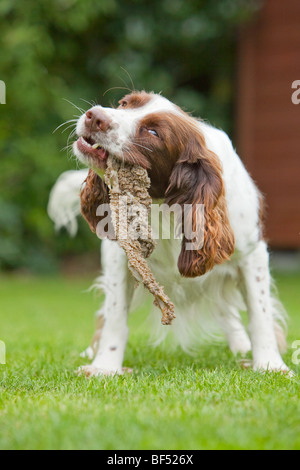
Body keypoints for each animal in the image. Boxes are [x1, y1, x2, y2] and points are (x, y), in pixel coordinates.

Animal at [48, 91, 290, 378]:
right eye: (124, 104)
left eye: (153, 132)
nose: (94, 116)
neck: (163, 204)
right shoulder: (121, 256)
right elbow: (115, 315)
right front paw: (105, 366)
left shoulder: (251, 254)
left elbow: (260, 313)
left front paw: (270, 365)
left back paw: (241, 345)